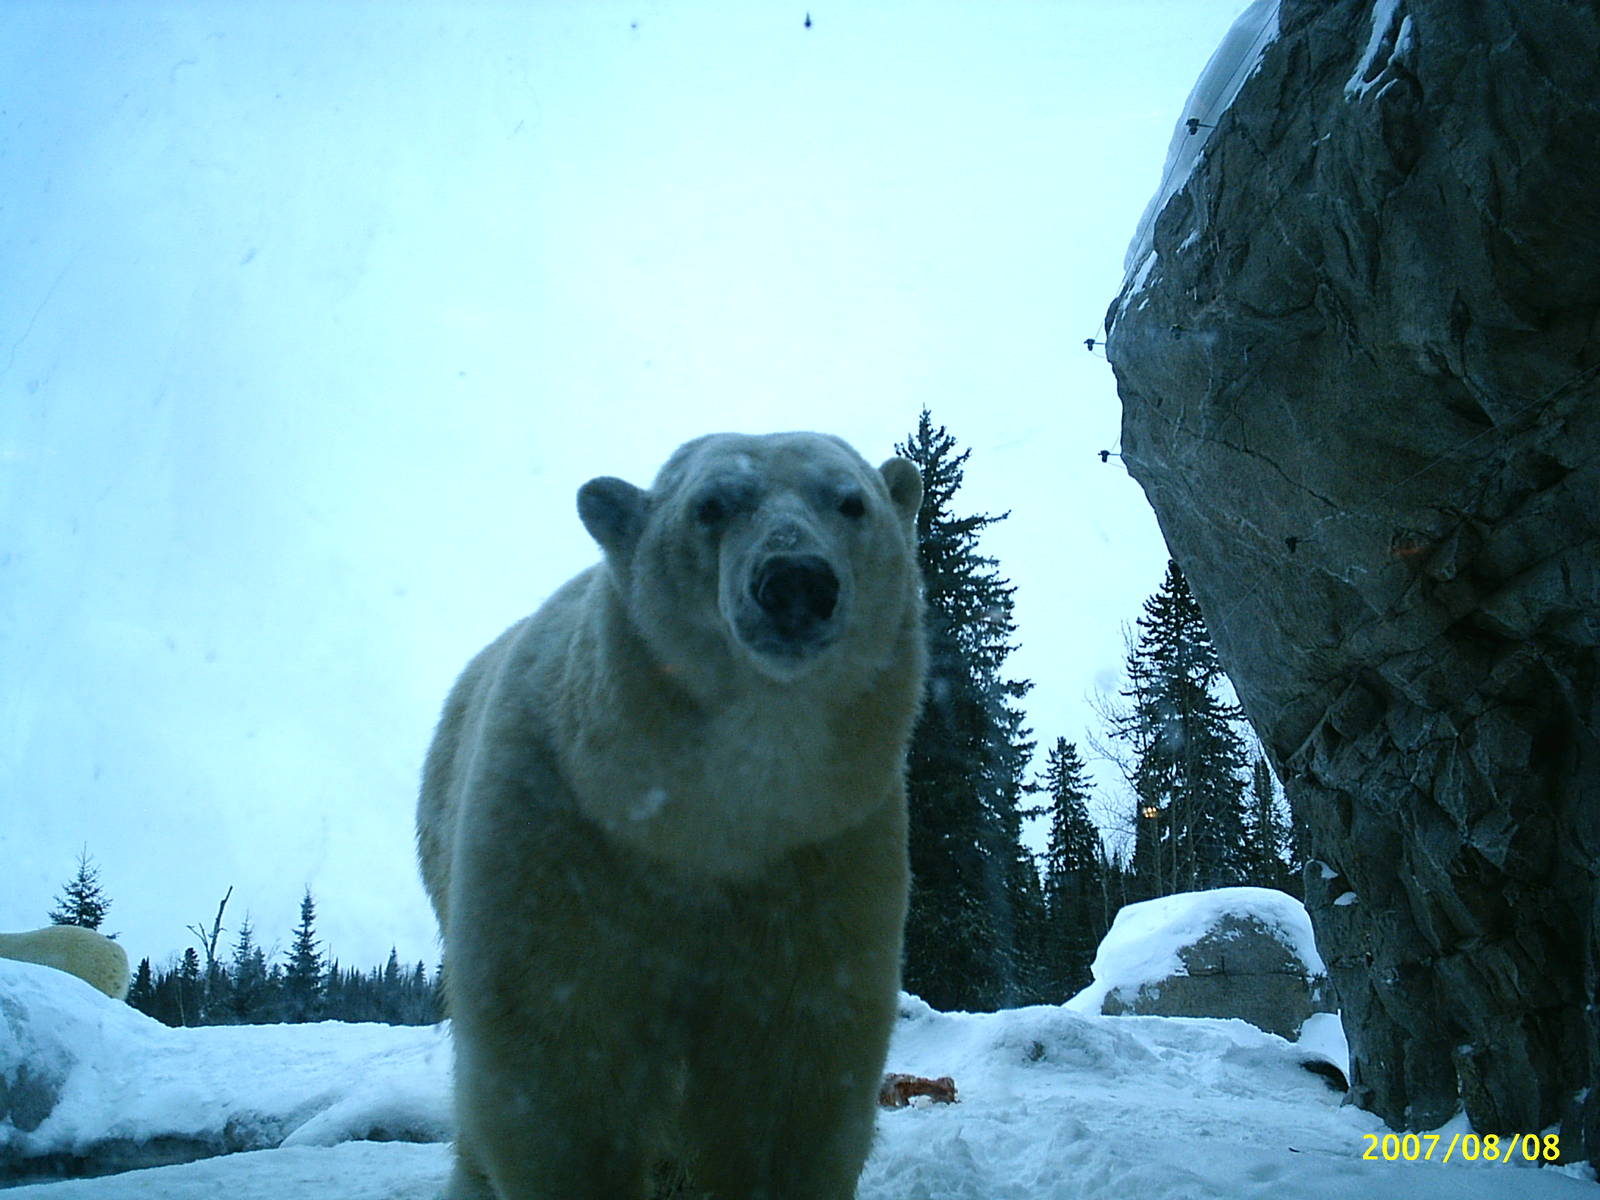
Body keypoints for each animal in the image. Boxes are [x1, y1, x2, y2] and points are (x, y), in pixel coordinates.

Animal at [417, 431, 925, 1200]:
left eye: (851, 501)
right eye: (711, 505)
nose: (796, 581)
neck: (700, 824)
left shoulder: (824, 854)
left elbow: (788, 1071)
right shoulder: (561, 838)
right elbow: (558, 1061)